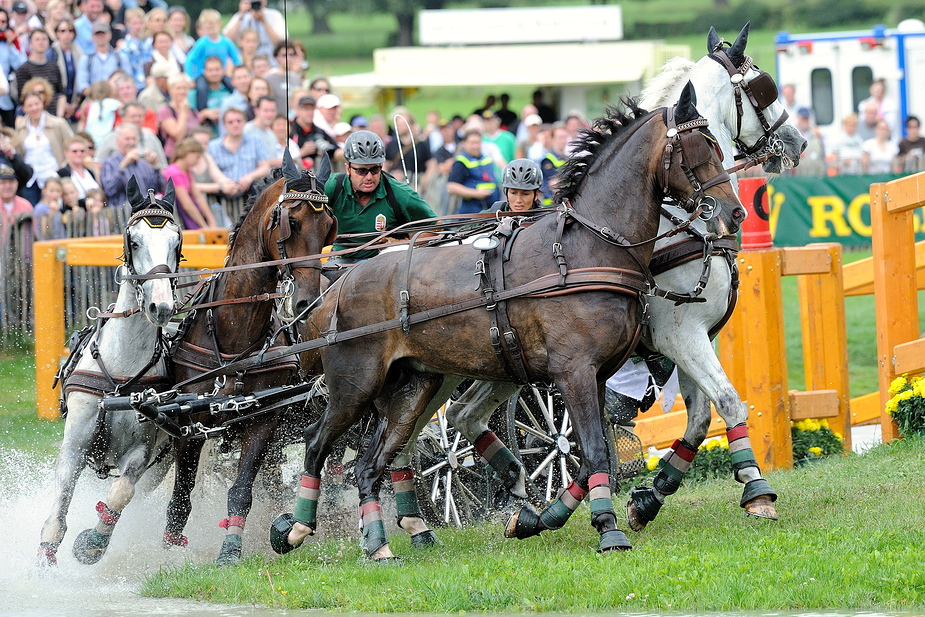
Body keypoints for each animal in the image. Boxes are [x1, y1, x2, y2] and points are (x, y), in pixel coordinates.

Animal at [38, 176, 182, 564]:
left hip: (161, 464)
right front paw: (45, 558)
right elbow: (58, 511)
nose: (161, 306)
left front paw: (93, 543)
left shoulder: (142, 454)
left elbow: (121, 493)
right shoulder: (75, 446)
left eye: (176, 242)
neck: (120, 372)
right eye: (134, 241)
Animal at [162, 153, 336, 564]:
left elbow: (241, 490)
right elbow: (180, 499)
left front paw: (230, 551)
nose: (307, 302)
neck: (233, 335)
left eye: (327, 228)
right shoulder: (190, 424)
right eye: (292, 223)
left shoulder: (263, 421)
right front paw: (168, 555)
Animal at [270, 82, 740, 560]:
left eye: (718, 145)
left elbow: (594, 455)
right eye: (699, 148)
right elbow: (592, 451)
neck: (588, 249)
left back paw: (381, 541)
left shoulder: (601, 374)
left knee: (373, 463)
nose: (732, 212)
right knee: (318, 443)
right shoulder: (577, 372)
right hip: (356, 384)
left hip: (415, 387)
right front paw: (607, 528)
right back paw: (298, 528)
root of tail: (341, 283)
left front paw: (541, 518)